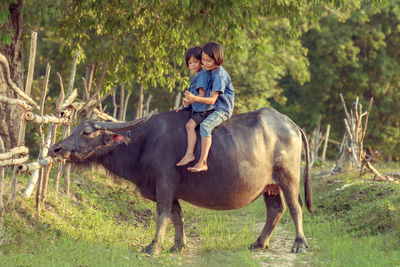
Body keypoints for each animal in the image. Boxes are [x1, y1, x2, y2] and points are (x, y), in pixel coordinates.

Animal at [49, 107, 312, 255]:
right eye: (76, 128)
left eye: (87, 132)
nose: (55, 149)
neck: (143, 143)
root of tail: (292, 125)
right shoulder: (171, 190)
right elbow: (177, 217)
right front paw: (177, 246)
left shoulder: (164, 184)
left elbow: (162, 215)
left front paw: (153, 247)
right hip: (269, 186)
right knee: (275, 209)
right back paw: (259, 243)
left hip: (288, 177)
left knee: (295, 207)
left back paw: (299, 244)